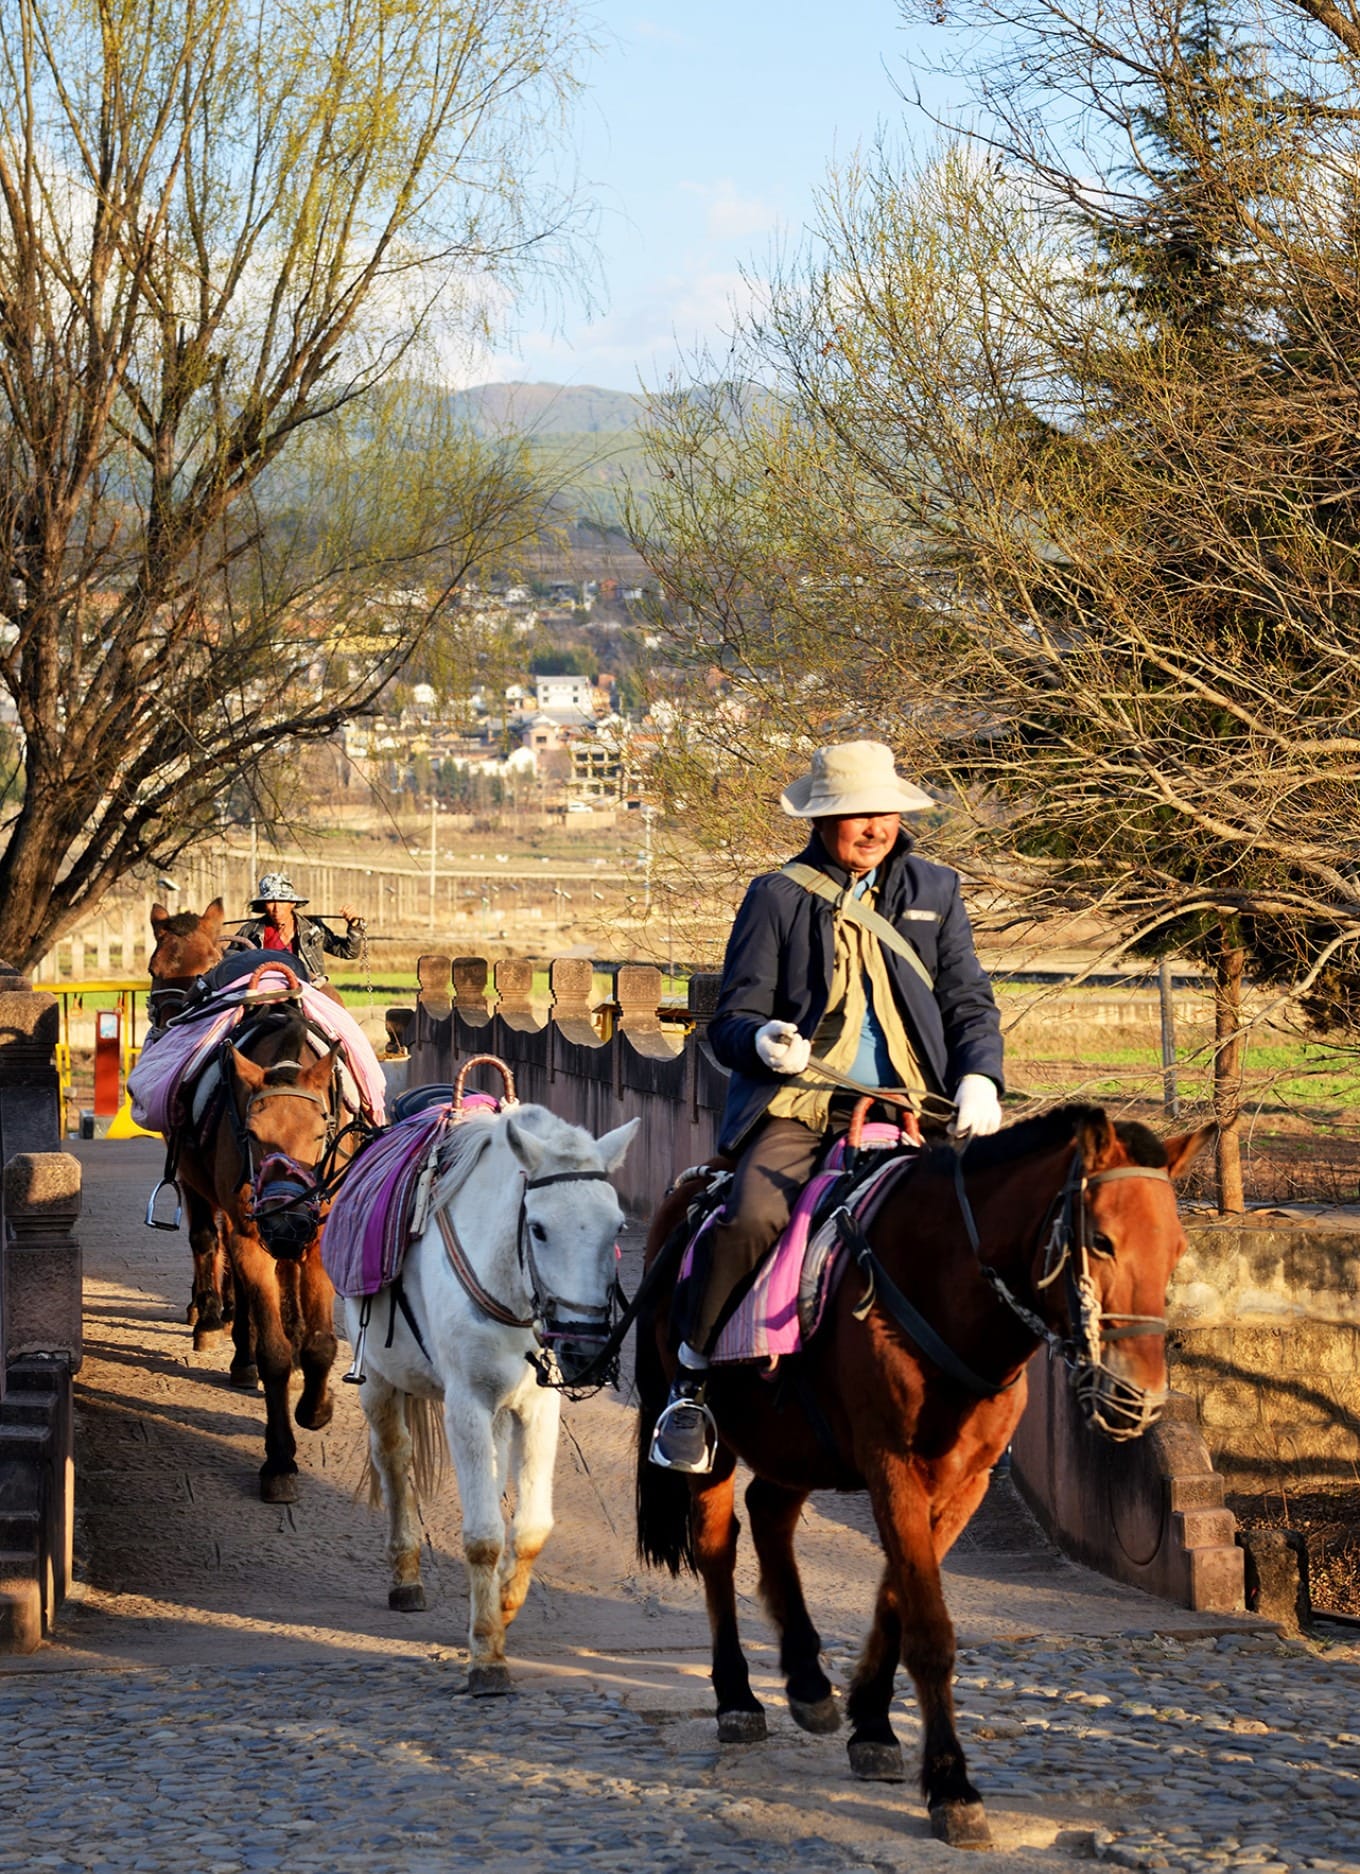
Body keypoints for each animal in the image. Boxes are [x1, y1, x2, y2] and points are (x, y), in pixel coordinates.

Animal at [340, 1101, 639, 1693]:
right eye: (539, 1229)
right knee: (394, 1457)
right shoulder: (466, 1406)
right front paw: (486, 1655)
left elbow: (530, 1528)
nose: (586, 1349)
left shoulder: (538, 1406)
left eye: (616, 1226)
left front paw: (501, 1604)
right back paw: (405, 1574)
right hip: (381, 1380)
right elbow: (482, 1534)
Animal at [635, 1102, 1212, 1850]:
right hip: (717, 1442)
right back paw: (736, 1695)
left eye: (1176, 1249)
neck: (945, 1288)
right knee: (716, 1544)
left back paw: (808, 1680)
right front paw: (951, 1786)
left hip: (794, 1441)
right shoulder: (894, 1467)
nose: (1135, 1401)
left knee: (769, 1514)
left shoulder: (963, 1481)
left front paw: (874, 1724)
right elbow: (931, 1630)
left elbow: (899, 1600)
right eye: (1103, 1241)